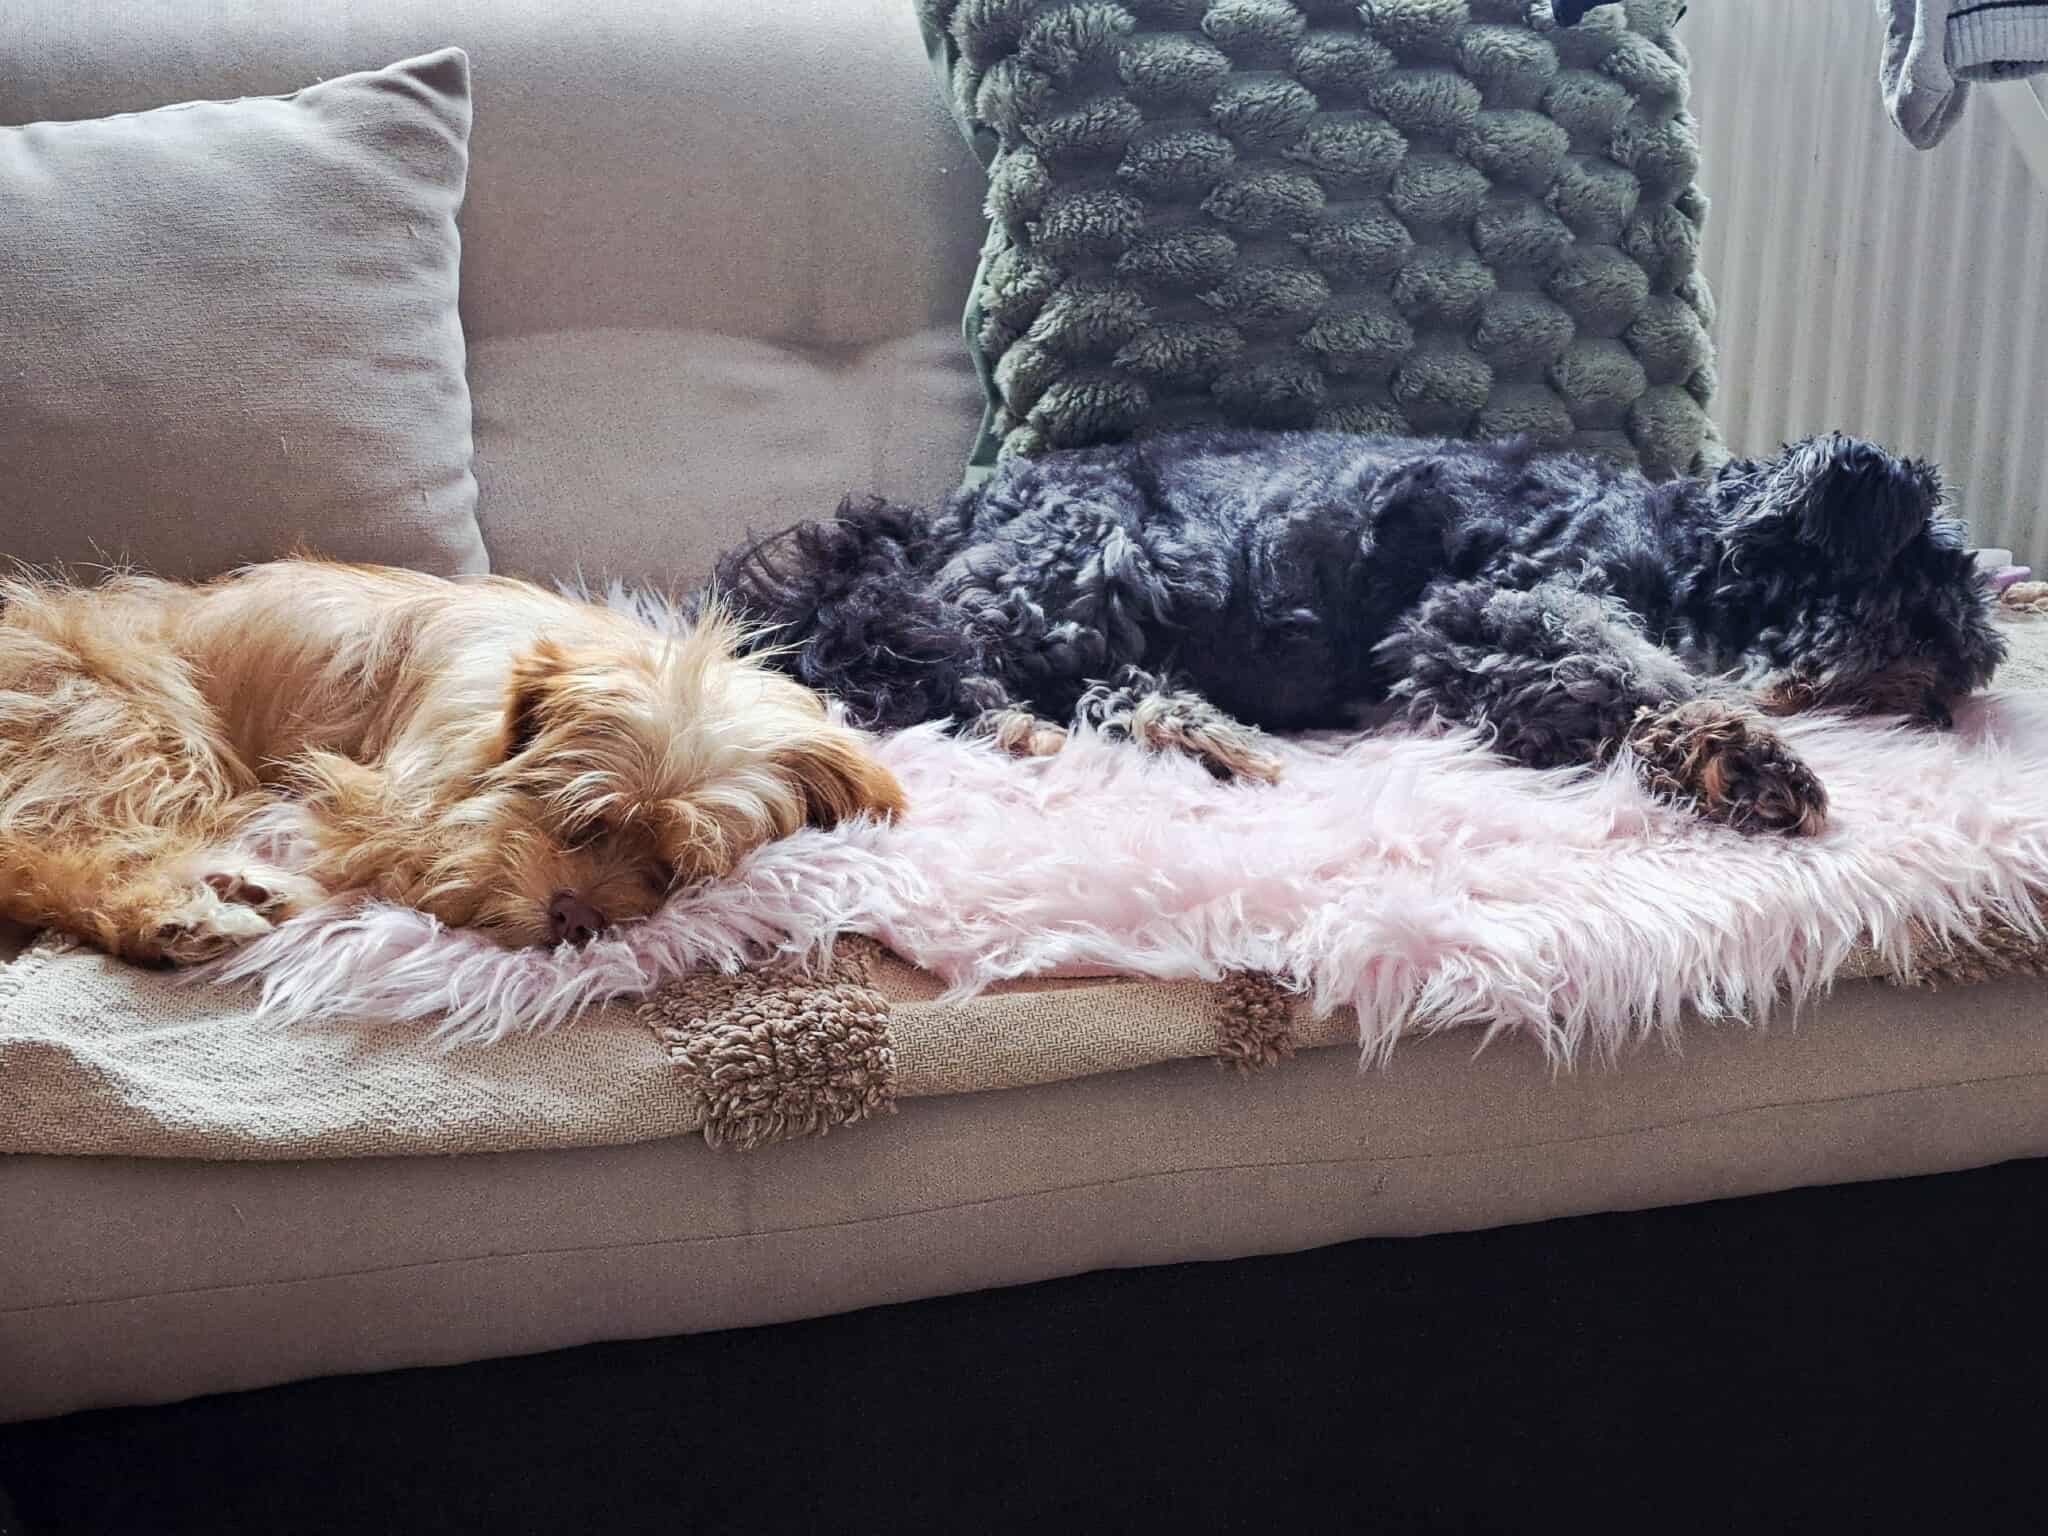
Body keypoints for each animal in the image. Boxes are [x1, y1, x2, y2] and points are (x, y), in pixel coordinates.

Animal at [0, 560, 905, 965]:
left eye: (676, 870)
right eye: (580, 818)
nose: (576, 917)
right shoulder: (376, 801)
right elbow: (449, 854)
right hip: (134, 724)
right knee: (45, 858)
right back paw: (184, 916)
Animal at [709, 430, 2007, 836]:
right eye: (1928, 611)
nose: (1955, 697)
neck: (1687, 545)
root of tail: (938, 520)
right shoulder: (1490, 606)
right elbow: (1636, 668)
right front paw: (1742, 753)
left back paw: (1204, 737)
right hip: (1087, 552)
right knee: (918, 656)